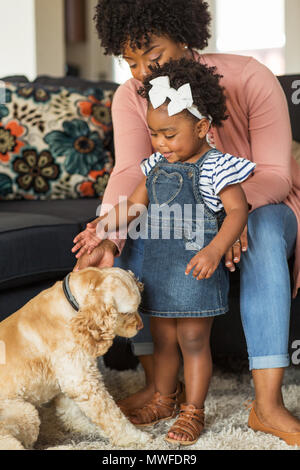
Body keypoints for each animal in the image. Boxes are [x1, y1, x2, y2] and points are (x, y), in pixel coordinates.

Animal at [0, 266, 151, 450]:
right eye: (126, 313)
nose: (140, 326)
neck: (71, 306)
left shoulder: (73, 378)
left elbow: (72, 412)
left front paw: (90, 428)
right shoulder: (82, 380)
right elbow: (110, 415)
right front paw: (134, 437)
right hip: (24, 412)